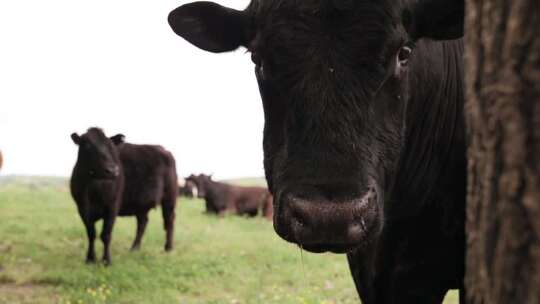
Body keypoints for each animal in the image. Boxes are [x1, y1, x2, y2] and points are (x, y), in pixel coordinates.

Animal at [69, 127, 179, 264]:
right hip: (141, 204)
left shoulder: (112, 206)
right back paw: (135, 248)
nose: (112, 170)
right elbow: (91, 234)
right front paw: (90, 258)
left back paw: (168, 247)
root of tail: (163, 149)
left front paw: (106, 260)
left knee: (169, 220)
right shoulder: (82, 209)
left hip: (169, 197)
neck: (92, 189)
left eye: (111, 146)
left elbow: (106, 234)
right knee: (142, 223)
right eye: (87, 145)